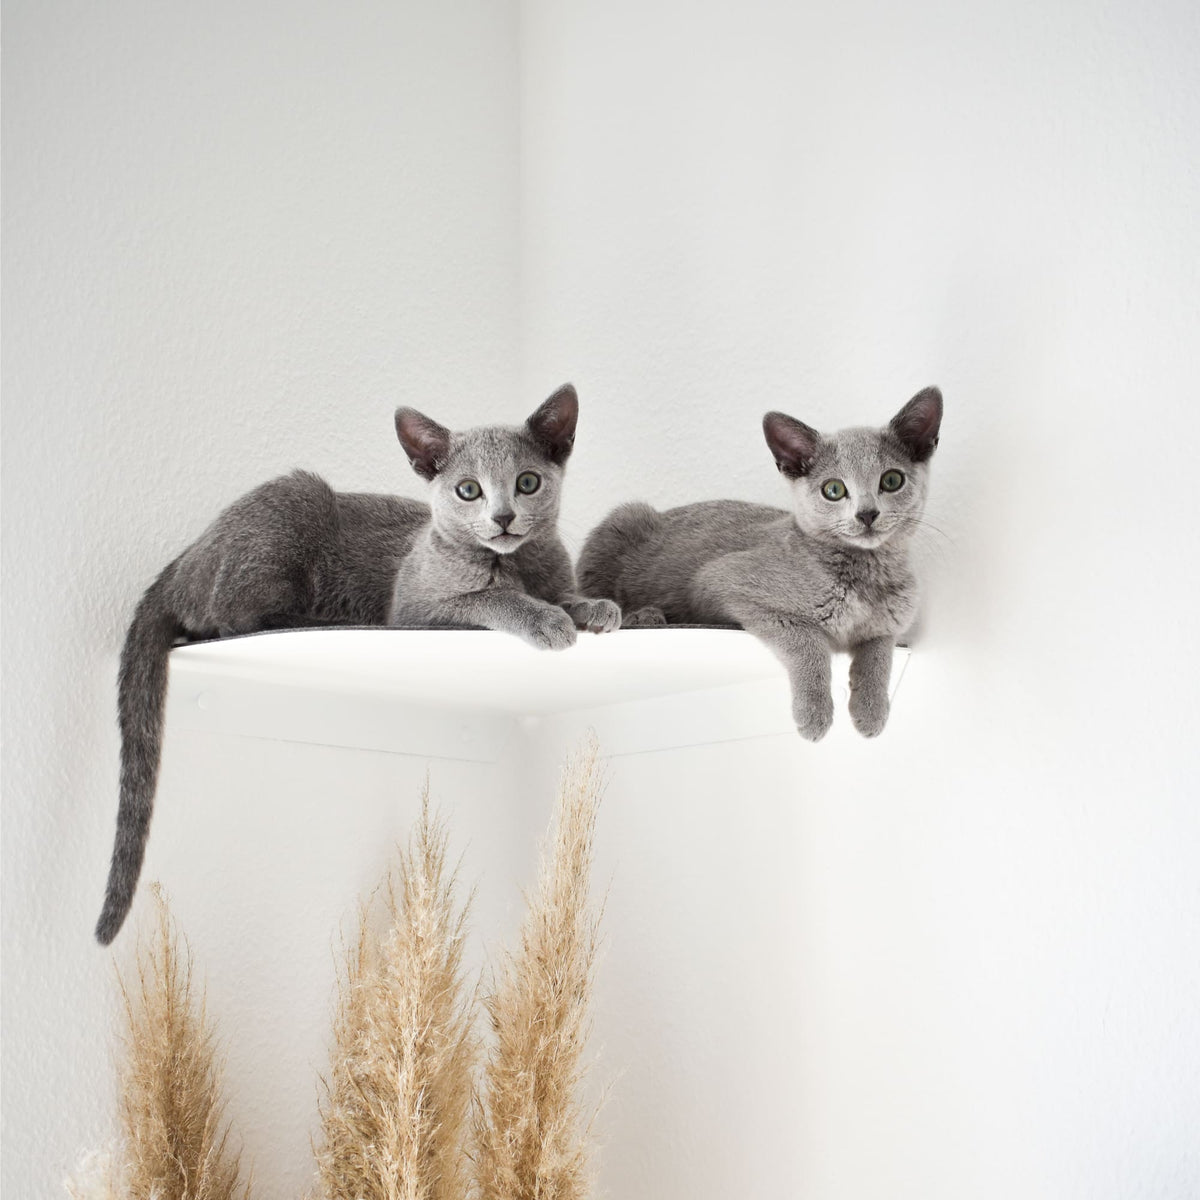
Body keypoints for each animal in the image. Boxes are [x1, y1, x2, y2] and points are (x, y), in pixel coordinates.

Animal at [96, 384, 619, 945]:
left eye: (527, 482)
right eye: (468, 491)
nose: (502, 517)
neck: (517, 562)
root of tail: (181, 560)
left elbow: (565, 594)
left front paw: (594, 607)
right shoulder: (415, 611)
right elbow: (490, 597)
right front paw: (545, 617)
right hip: (291, 504)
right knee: (230, 616)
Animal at [576, 384, 940, 739]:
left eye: (891, 480)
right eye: (834, 489)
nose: (866, 514)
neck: (867, 577)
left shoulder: (889, 628)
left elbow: (880, 654)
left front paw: (871, 711)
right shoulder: (719, 582)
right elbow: (808, 640)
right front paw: (815, 714)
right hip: (622, 521)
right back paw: (643, 615)